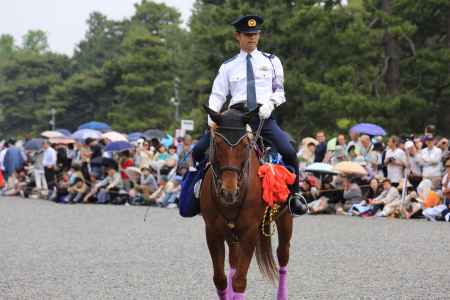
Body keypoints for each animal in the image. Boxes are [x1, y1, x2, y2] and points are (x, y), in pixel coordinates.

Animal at [200, 106, 292, 298]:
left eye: (244, 145)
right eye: (217, 143)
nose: (229, 191)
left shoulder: (250, 232)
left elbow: (239, 281)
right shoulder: (212, 231)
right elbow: (220, 279)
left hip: (285, 218)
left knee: (283, 255)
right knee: (233, 263)